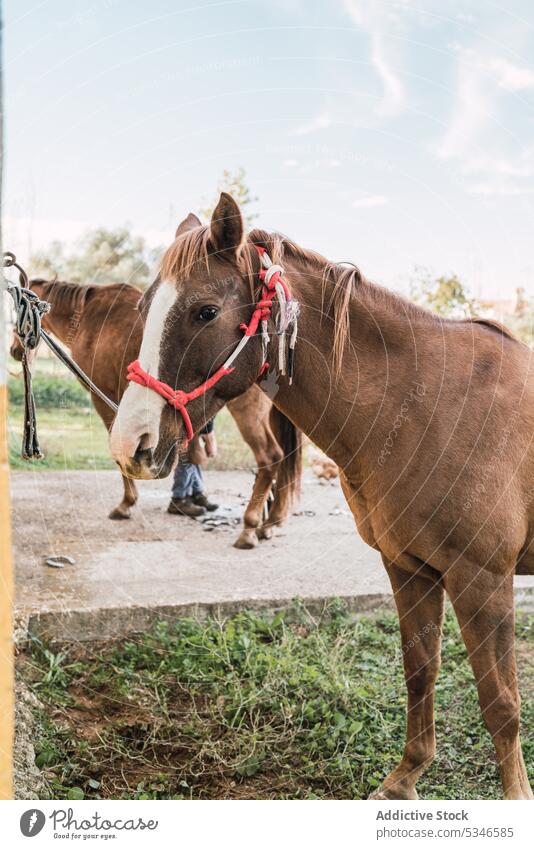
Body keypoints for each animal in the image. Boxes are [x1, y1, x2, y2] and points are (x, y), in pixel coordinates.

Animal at [109, 190, 534, 796]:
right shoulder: (410, 568)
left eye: (205, 311)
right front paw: (405, 777)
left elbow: (501, 704)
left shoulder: (482, 579)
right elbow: (420, 672)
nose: (131, 443)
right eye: (147, 309)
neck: (429, 404)